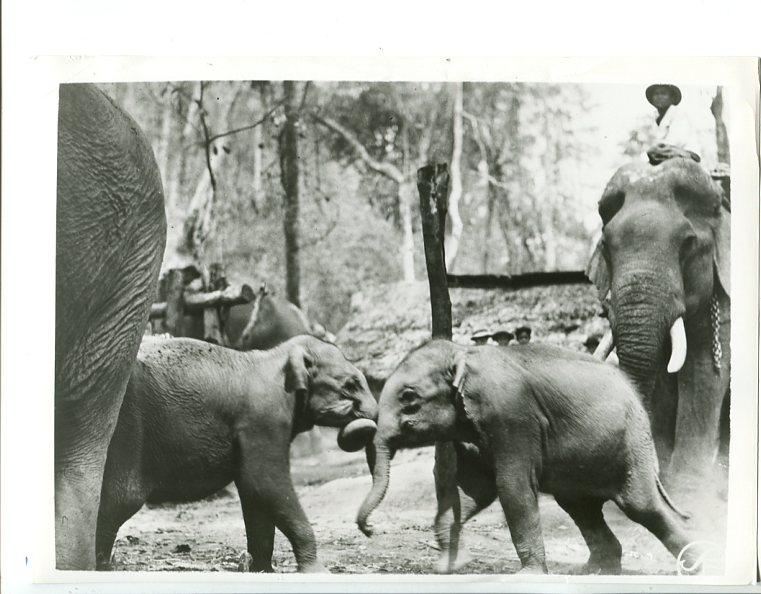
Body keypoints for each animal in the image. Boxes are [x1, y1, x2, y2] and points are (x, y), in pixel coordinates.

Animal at [96, 335, 378, 573]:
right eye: (350, 385)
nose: (370, 529)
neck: (276, 357)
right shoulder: (263, 420)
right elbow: (266, 484)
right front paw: (316, 572)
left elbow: (254, 495)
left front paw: (264, 571)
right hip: (128, 429)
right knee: (121, 499)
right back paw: (101, 567)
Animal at [357, 340, 701, 575]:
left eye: (408, 397)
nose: (370, 530)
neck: (464, 353)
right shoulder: (471, 430)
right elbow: (474, 492)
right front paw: (446, 565)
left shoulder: (513, 416)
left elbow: (512, 488)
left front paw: (527, 576)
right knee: (579, 507)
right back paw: (595, 571)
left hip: (633, 444)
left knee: (642, 507)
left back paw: (696, 567)